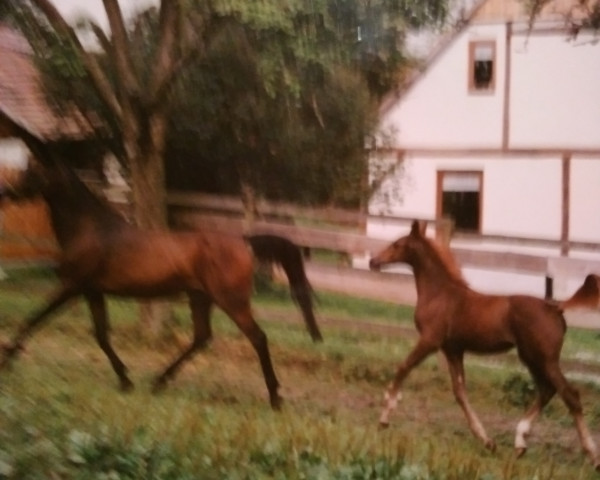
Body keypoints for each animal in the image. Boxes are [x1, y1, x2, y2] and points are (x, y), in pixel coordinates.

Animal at [0, 158, 324, 408]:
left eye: (32, 173)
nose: (6, 192)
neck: (90, 228)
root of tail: (244, 242)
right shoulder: (93, 292)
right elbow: (101, 335)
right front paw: (125, 379)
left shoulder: (72, 286)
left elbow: (35, 318)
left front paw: (8, 356)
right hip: (200, 297)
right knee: (202, 337)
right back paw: (159, 381)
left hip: (230, 300)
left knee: (257, 338)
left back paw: (275, 397)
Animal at [368, 220, 596, 468]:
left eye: (397, 244)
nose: (373, 261)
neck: (440, 293)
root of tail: (556, 308)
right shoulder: (453, 350)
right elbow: (459, 392)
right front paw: (487, 441)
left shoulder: (430, 340)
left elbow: (403, 368)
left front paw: (385, 416)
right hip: (530, 357)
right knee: (547, 391)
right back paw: (520, 443)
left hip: (545, 358)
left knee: (570, 395)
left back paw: (592, 455)